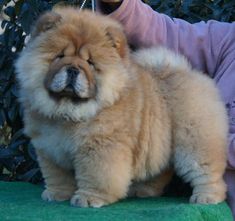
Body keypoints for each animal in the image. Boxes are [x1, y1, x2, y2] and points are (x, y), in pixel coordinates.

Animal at [15, 7, 228, 207]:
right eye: (59, 56)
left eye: (90, 63)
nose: (73, 69)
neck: (68, 111)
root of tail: (186, 72)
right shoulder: (50, 149)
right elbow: (57, 177)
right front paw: (56, 194)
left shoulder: (100, 146)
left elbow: (96, 176)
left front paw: (88, 198)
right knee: (160, 171)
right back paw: (143, 191)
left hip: (194, 141)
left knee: (207, 171)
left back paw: (206, 197)